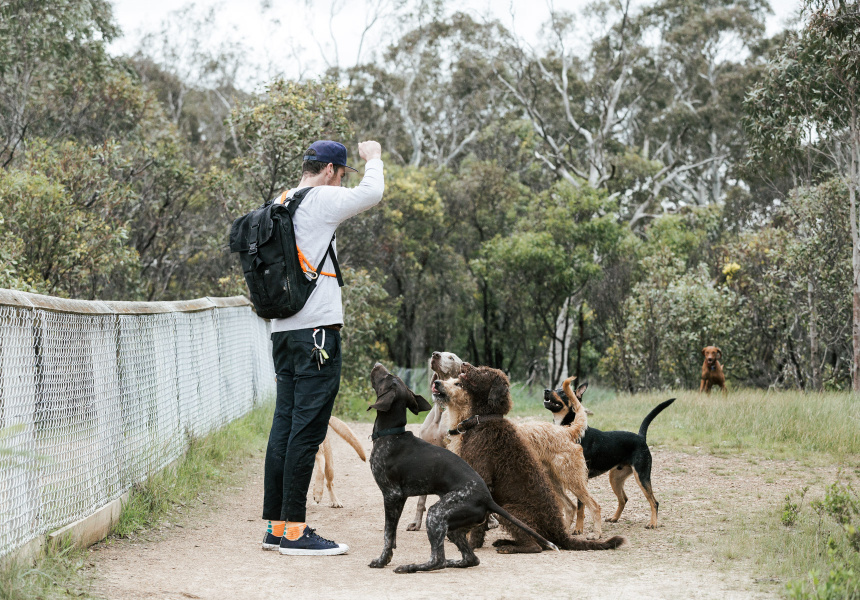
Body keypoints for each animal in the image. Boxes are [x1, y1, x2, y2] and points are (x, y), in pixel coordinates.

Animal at [364, 364, 556, 576]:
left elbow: (388, 534)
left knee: (438, 560)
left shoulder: (392, 495)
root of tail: (488, 499)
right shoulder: (399, 498)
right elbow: (392, 535)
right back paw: (452, 561)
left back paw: (411, 567)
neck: (392, 434)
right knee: (470, 558)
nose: (377, 365)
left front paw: (382, 560)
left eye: (387, 376)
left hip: (436, 514)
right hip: (453, 528)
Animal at [430, 360, 624, 552]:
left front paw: (472, 541)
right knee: (569, 508)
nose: (437, 383)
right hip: (553, 481)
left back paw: (594, 534)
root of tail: (565, 431)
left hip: (571, 479)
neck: (480, 420)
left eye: (457, 383)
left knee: (593, 506)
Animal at [540, 386, 676, 528]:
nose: (546, 390)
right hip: (615, 478)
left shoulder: (581, 478)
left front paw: (578, 529)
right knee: (623, 499)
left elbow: (580, 507)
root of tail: (640, 437)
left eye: (562, 391)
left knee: (654, 502)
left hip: (641, 476)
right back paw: (614, 518)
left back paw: (653, 523)